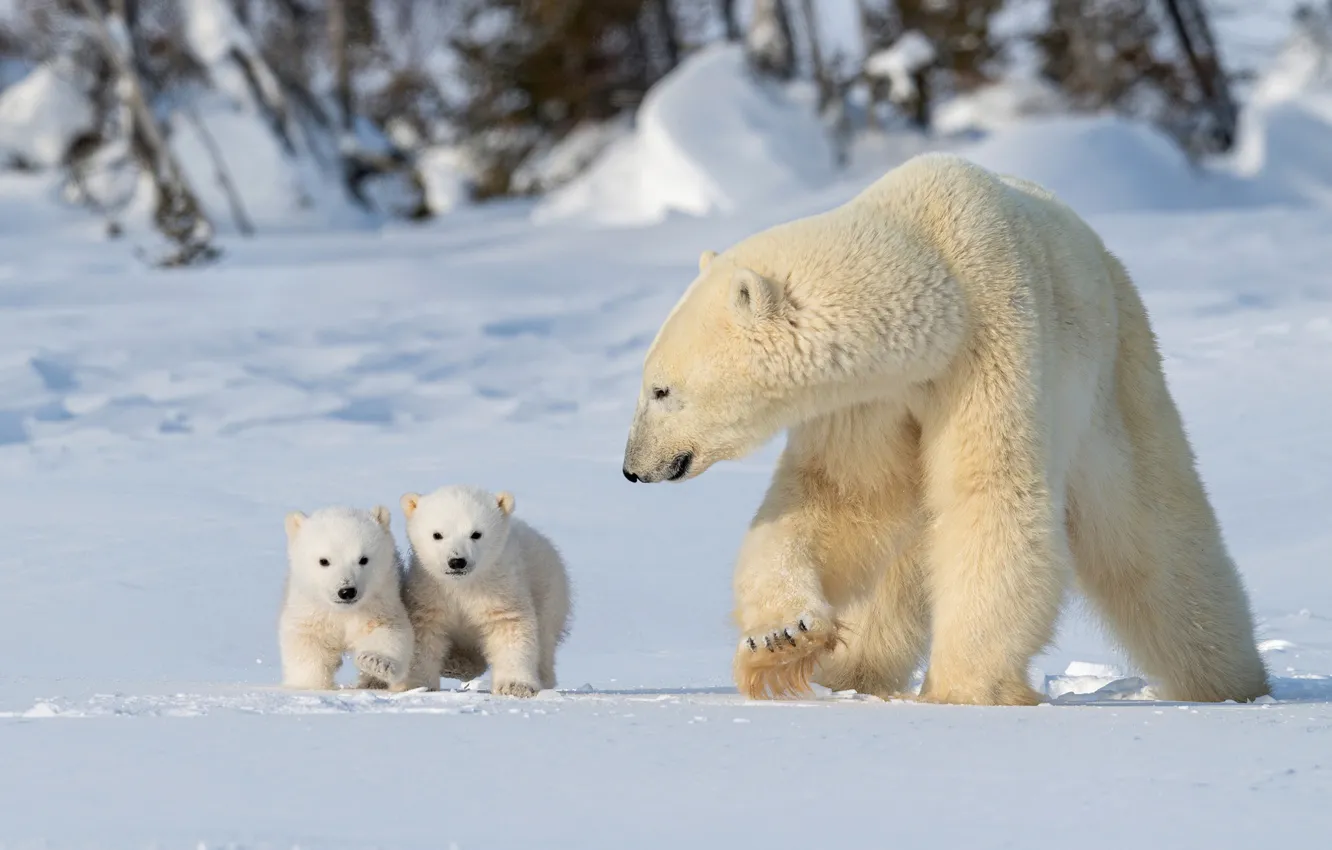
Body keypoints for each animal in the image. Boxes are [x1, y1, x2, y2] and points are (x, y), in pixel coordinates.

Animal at [279, 505, 415, 690]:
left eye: (363, 559)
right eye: (324, 561)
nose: (346, 591)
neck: (344, 612)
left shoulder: (379, 604)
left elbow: (390, 631)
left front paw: (375, 662)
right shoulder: (312, 612)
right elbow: (306, 642)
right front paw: (312, 685)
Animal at [399, 485, 571, 698]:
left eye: (476, 534)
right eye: (437, 534)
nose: (457, 561)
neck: (463, 585)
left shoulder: (500, 588)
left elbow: (509, 627)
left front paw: (516, 686)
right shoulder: (429, 594)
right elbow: (423, 631)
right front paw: (416, 684)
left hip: (548, 590)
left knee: (545, 641)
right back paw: (457, 663)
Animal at [621, 152, 1270, 706]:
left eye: (661, 390)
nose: (632, 468)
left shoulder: (994, 339)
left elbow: (992, 493)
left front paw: (960, 690)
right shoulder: (872, 397)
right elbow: (844, 495)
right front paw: (782, 638)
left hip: (1116, 375)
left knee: (1152, 531)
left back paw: (1232, 682)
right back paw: (852, 673)